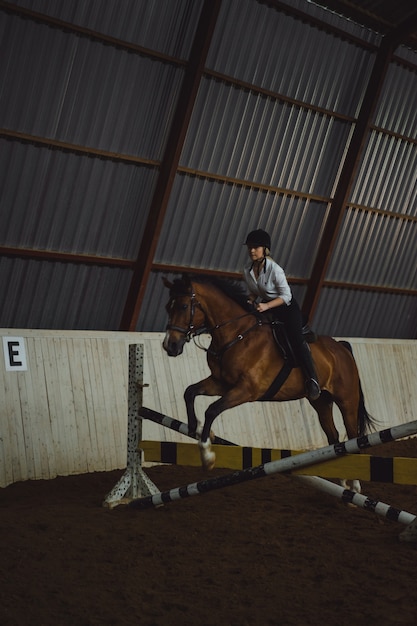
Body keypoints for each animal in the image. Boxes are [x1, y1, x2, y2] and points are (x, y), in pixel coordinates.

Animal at [161, 272, 372, 488]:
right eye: (168, 307)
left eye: (183, 306)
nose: (170, 346)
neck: (237, 334)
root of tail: (341, 348)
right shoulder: (221, 383)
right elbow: (190, 392)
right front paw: (195, 428)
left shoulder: (246, 390)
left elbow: (211, 410)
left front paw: (206, 454)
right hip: (321, 401)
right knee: (334, 436)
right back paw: (343, 479)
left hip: (347, 401)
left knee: (352, 435)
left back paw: (355, 484)